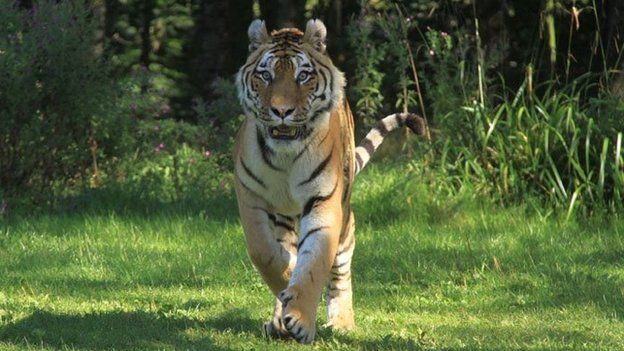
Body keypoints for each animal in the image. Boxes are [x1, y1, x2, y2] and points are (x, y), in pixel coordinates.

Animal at [234, 18, 428, 344]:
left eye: (302, 76)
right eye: (266, 75)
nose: (281, 111)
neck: (285, 155)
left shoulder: (324, 200)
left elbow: (314, 262)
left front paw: (300, 318)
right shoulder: (250, 195)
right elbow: (264, 252)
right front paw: (287, 283)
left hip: (346, 216)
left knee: (341, 268)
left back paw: (341, 322)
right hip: (284, 216)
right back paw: (278, 320)